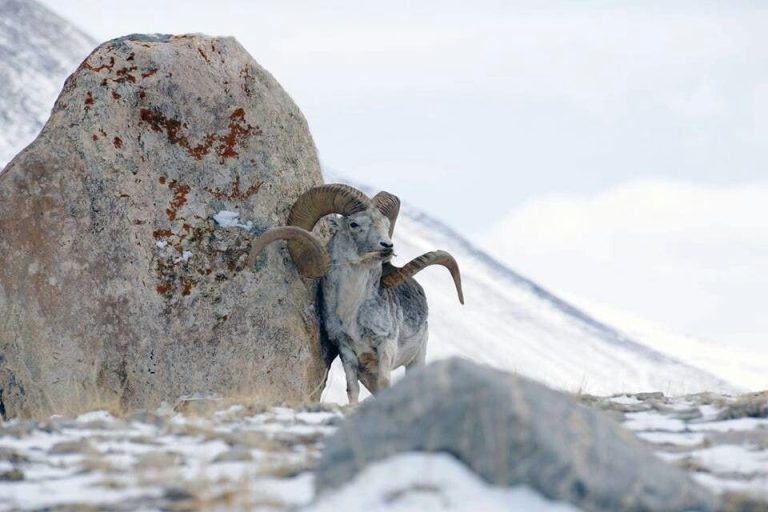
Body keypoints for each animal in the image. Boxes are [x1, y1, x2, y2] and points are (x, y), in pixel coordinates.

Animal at [248, 184, 464, 404]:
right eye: (354, 224)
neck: (351, 311)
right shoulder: (347, 351)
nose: (388, 246)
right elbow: (352, 390)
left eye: (386, 224)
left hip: (417, 358)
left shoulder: (385, 345)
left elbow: (385, 384)